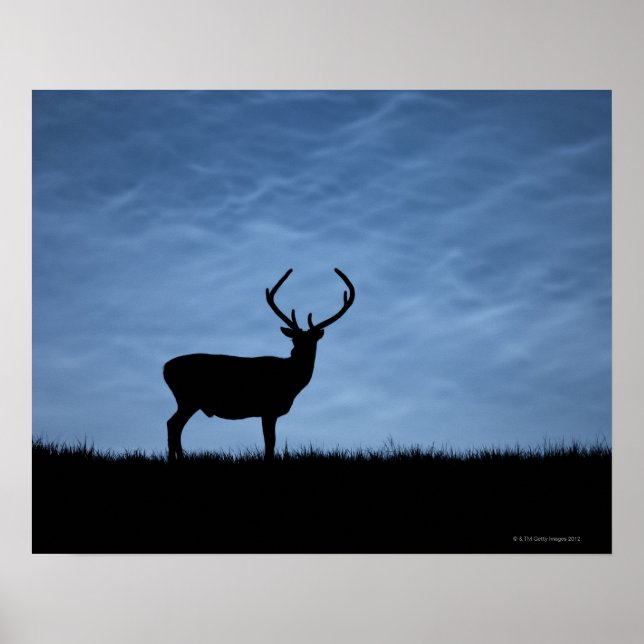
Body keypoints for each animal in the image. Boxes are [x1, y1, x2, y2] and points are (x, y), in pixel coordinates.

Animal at [163, 268, 355, 462]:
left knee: (174, 425)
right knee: (173, 424)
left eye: (311, 342)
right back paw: (176, 459)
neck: (291, 381)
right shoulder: (268, 408)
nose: (295, 352)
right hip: (189, 398)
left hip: (187, 400)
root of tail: (165, 368)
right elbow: (270, 442)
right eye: (294, 339)